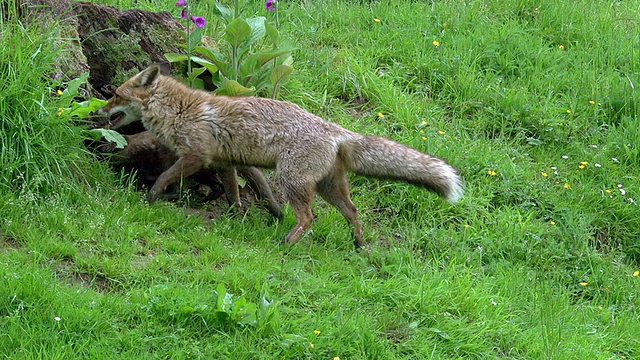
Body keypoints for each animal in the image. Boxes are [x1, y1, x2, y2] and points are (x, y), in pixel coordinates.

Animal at [97, 65, 462, 248]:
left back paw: (287, 242)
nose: (98, 112)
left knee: (309, 219)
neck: (181, 110)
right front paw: (236, 217)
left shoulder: (195, 157)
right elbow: (233, 194)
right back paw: (359, 244)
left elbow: (164, 176)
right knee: (353, 212)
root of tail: (336, 130)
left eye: (115, 95)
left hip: (292, 180)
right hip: (328, 187)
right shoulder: (227, 163)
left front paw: (151, 198)